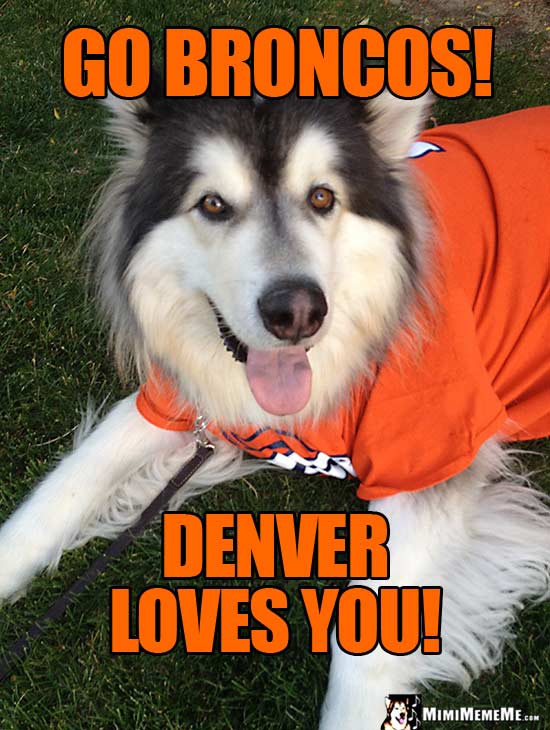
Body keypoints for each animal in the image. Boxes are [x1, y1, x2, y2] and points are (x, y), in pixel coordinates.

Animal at [1, 86, 550, 728]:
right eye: (212, 204)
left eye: (322, 197)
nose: (297, 312)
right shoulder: (180, 402)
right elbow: (63, 487)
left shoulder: (430, 453)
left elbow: (366, 643)